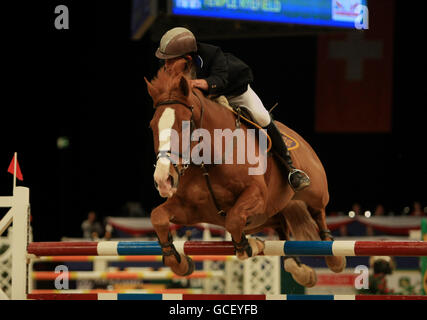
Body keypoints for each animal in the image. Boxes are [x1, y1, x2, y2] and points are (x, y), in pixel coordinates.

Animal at [145, 60, 346, 288]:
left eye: (184, 124)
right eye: (152, 126)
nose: (163, 180)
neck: (208, 160)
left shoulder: (256, 195)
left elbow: (233, 219)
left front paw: (250, 246)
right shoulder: (190, 209)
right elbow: (158, 216)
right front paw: (179, 262)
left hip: (314, 193)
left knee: (319, 215)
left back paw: (334, 258)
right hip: (269, 214)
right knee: (281, 226)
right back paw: (299, 269)